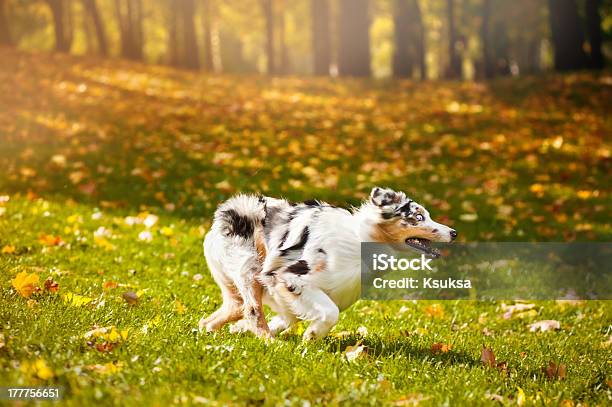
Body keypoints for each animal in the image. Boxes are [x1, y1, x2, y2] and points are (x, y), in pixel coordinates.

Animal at [198, 188, 456, 342]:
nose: (454, 232)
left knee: (231, 310)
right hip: (250, 269)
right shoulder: (288, 277)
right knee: (252, 310)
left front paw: (239, 329)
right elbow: (329, 313)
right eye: (419, 217)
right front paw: (312, 336)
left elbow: (289, 318)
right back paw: (271, 343)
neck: (360, 239)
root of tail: (224, 216)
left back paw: (208, 329)